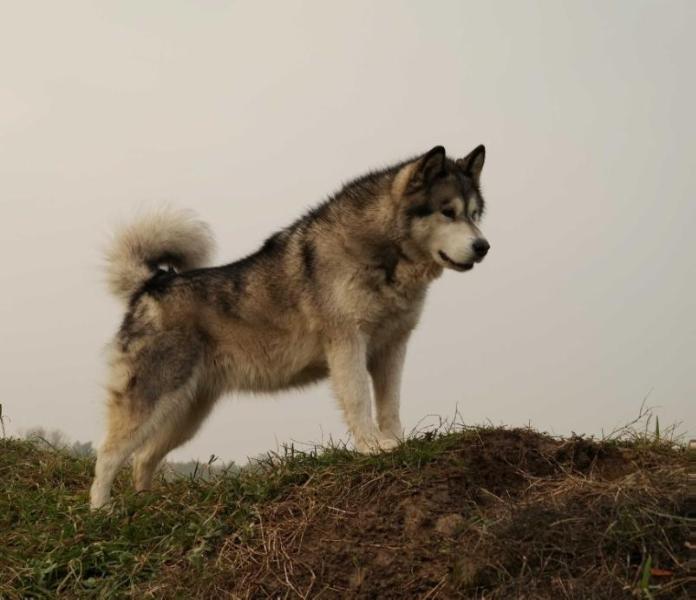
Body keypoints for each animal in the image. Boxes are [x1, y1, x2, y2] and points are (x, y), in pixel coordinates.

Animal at [89, 144, 490, 506]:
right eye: (447, 212)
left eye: (474, 215)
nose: (483, 246)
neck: (381, 253)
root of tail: (153, 282)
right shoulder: (347, 342)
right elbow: (359, 399)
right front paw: (372, 447)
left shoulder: (392, 346)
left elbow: (390, 404)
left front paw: (396, 443)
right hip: (153, 398)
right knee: (107, 456)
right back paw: (102, 513)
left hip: (187, 412)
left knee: (143, 458)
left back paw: (145, 506)